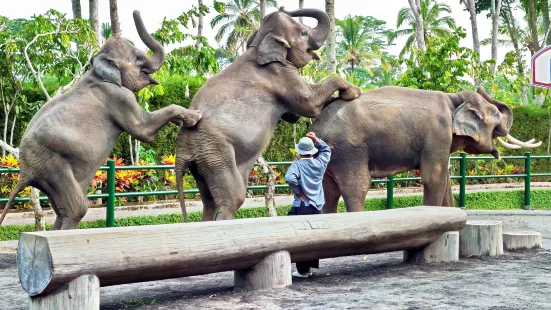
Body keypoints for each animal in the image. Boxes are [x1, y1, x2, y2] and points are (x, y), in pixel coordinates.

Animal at [0, 10, 203, 229]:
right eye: (139, 57)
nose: (135, 12)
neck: (97, 67)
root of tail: (24, 171)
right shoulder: (118, 97)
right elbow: (143, 130)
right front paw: (195, 117)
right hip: (51, 164)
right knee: (77, 209)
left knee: (61, 211)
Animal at [174, 6, 362, 222]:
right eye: (303, 33)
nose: (283, 7)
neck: (258, 45)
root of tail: (181, 149)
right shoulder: (279, 74)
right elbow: (309, 103)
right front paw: (353, 92)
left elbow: (294, 116)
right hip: (215, 152)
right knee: (233, 198)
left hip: (202, 161)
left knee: (208, 201)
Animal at [310, 85, 544, 213]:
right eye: (496, 115)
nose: (480, 88)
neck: (454, 98)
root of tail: (316, 129)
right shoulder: (437, 134)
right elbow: (433, 179)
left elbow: (445, 180)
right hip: (349, 150)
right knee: (356, 187)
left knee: (328, 191)